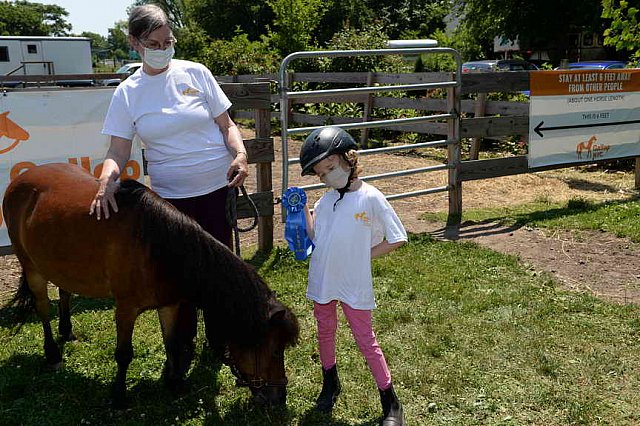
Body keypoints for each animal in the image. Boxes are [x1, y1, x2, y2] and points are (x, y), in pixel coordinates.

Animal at [2, 162, 300, 406]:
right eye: (275, 350)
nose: (279, 397)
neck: (156, 244)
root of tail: (22, 179)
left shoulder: (169, 305)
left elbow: (172, 344)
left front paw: (176, 383)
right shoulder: (125, 309)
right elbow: (124, 353)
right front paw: (119, 396)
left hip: (61, 264)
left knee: (64, 291)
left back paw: (66, 331)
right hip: (31, 267)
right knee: (42, 308)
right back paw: (52, 354)